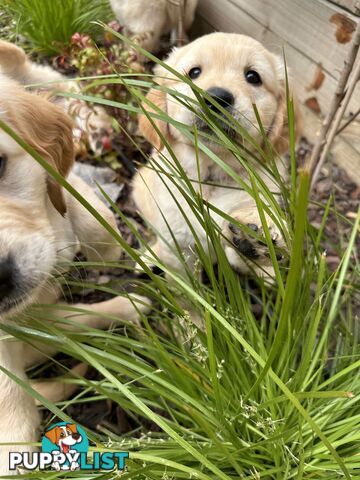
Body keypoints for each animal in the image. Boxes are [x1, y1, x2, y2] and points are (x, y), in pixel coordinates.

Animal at [132, 32, 300, 278]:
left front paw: (256, 234)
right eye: (194, 72)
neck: (213, 174)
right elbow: (185, 284)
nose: (217, 97)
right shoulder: (179, 249)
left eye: (253, 77)